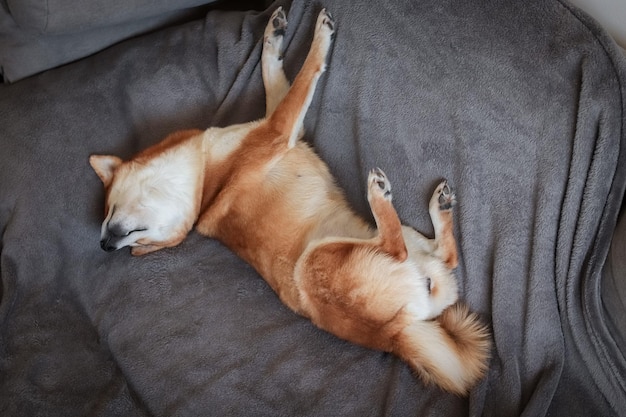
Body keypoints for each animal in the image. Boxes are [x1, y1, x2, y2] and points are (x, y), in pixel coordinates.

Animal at [88, 8, 490, 394]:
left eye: (108, 213)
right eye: (132, 237)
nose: (105, 245)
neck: (205, 185)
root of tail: (395, 335)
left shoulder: (285, 128)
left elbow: (274, 82)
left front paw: (274, 36)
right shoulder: (278, 132)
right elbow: (304, 78)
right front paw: (319, 38)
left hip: (412, 251)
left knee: (445, 255)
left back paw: (439, 207)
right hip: (316, 260)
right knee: (396, 246)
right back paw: (378, 194)